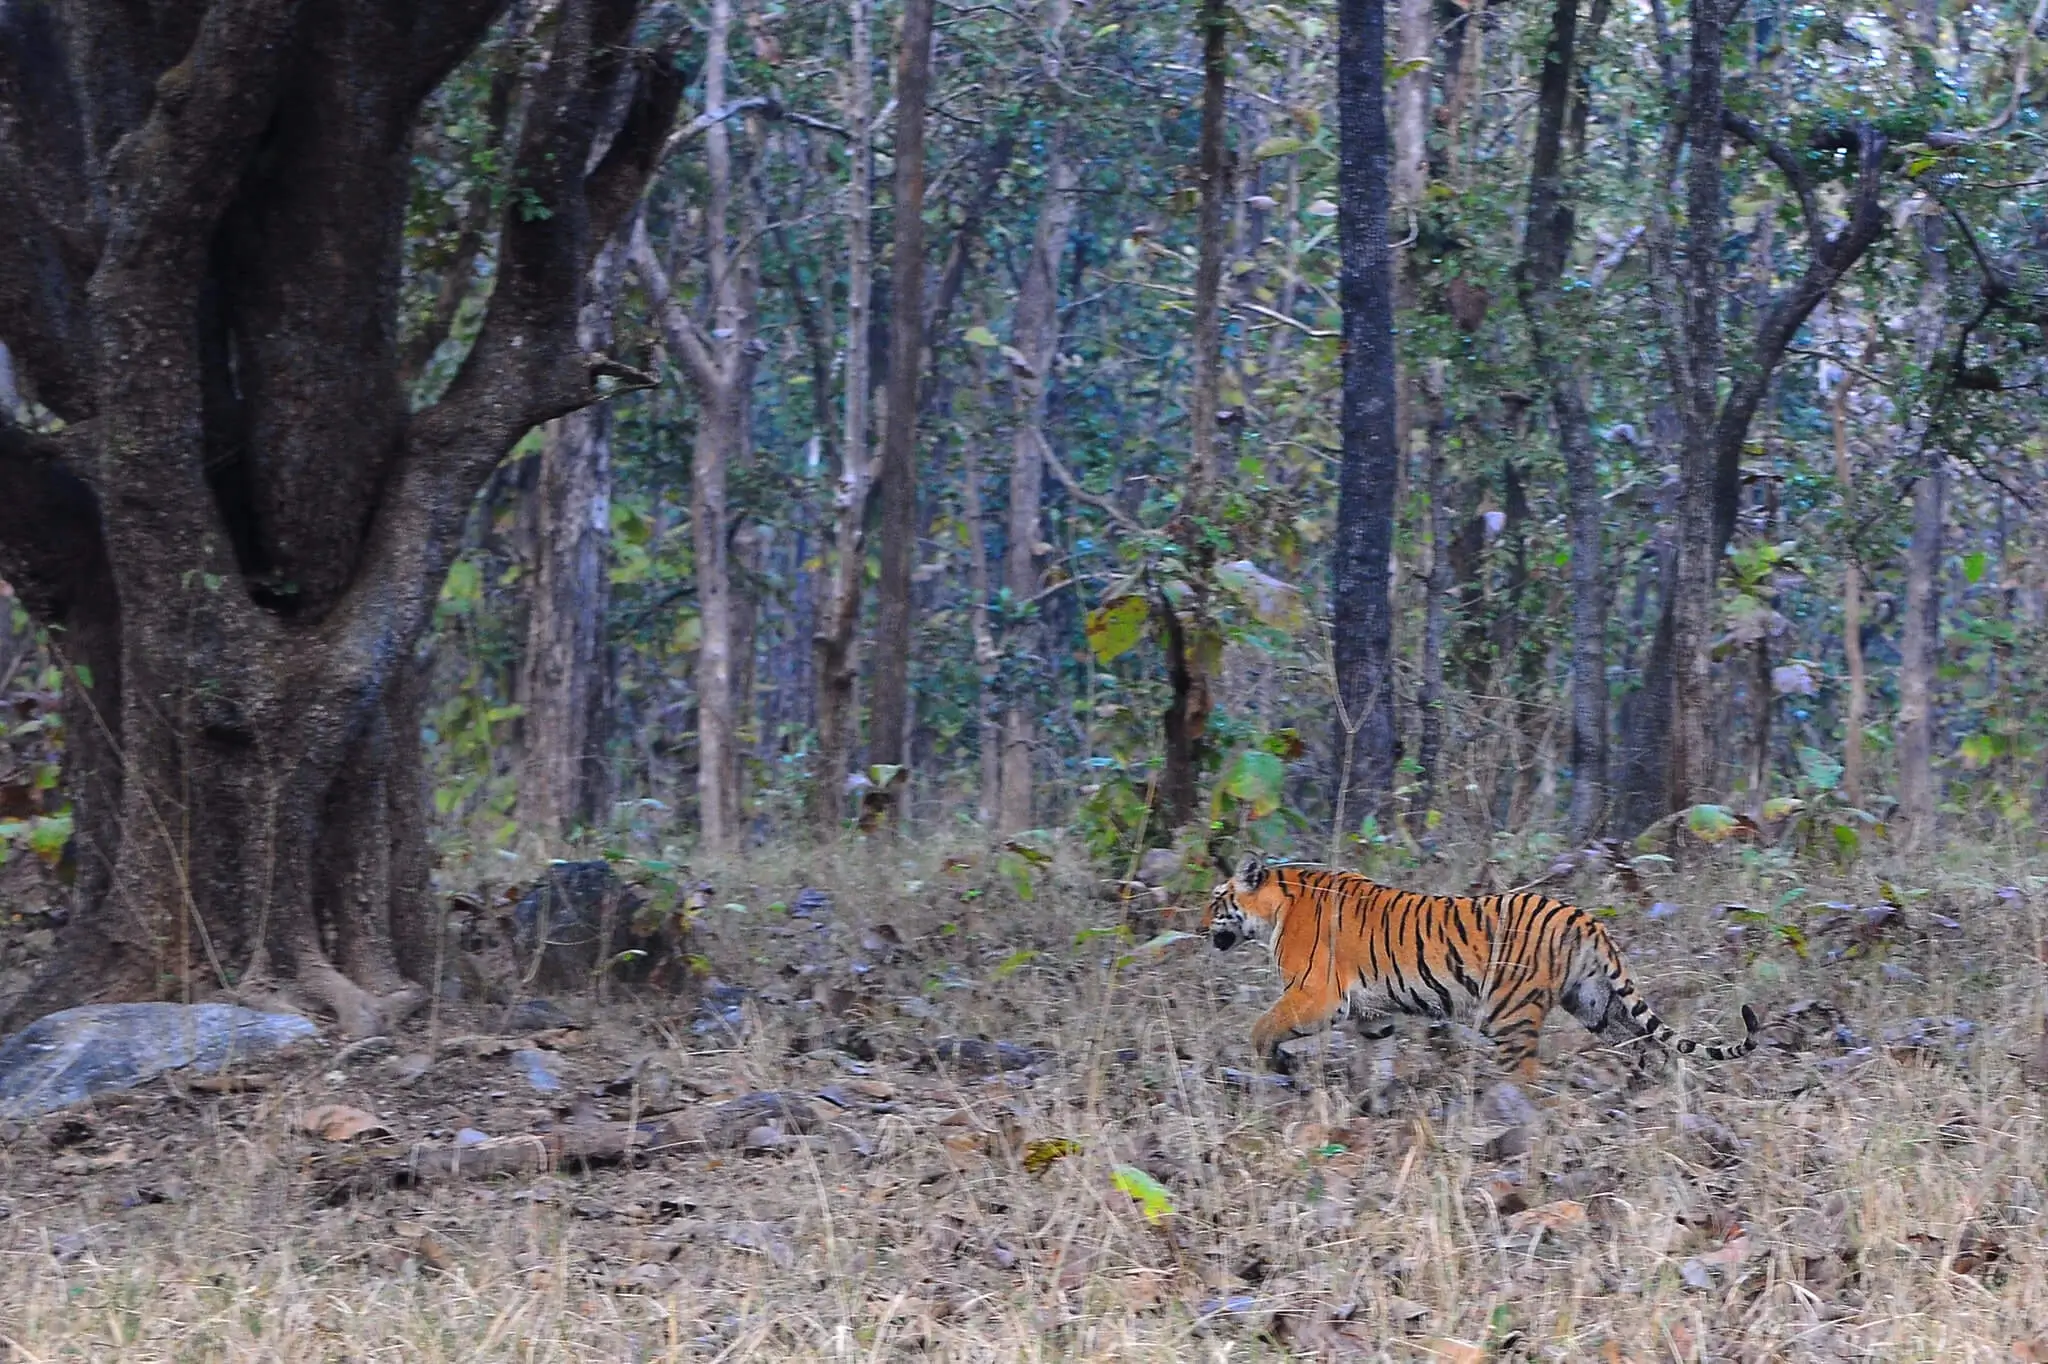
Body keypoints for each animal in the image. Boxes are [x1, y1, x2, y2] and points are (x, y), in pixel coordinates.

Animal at [1203, 854, 1760, 1088]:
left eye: (1215, 902)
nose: (1199, 926)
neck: (1275, 906)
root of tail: (1583, 917)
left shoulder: (1314, 995)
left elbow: (1263, 1028)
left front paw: (1275, 1065)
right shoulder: (1371, 1012)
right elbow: (1378, 1055)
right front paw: (1374, 1101)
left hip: (1508, 1012)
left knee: (1527, 1074)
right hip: (1594, 1001)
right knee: (1649, 1045)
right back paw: (1659, 1092)